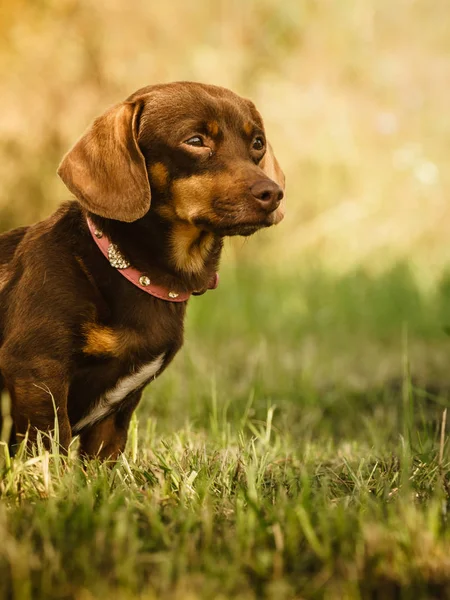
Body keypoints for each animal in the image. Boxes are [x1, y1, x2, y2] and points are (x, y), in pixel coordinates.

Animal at [0, 83, 284, 460]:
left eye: (258, 142)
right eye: (195, 141)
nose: (273, 194)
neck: (126, 268)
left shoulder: (118, 411)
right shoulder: (36, 369)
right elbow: (49, 448)